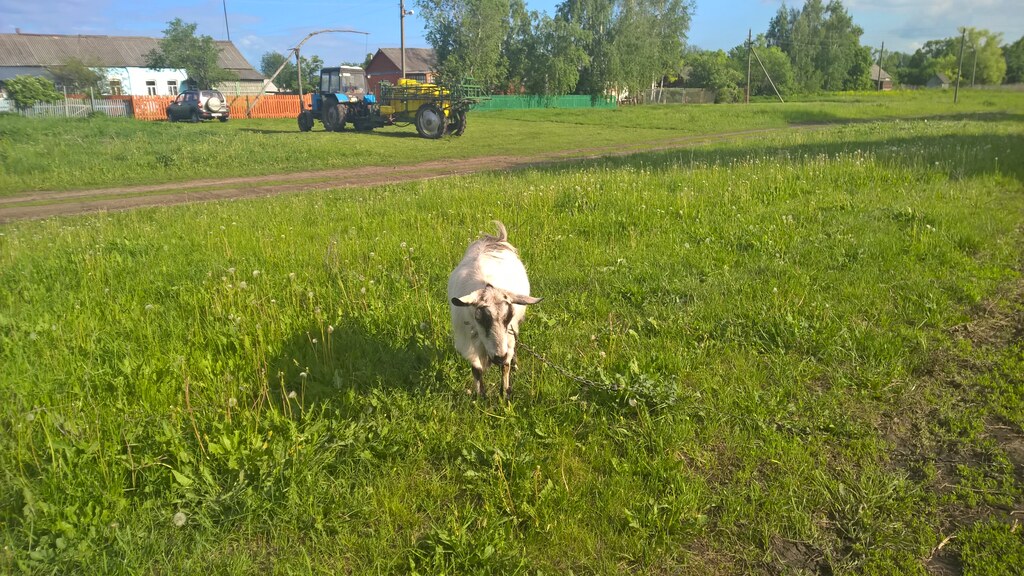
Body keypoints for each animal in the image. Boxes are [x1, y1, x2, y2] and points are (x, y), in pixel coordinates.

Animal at [448, 221, 541, 400]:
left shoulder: (509, 335)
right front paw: (481, 396)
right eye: (481, 318)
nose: (499, 356)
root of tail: (495, 239)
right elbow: (476, 369)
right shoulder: (467, 340)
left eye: (508, 317)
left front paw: (504, 394)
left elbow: (505, 366)